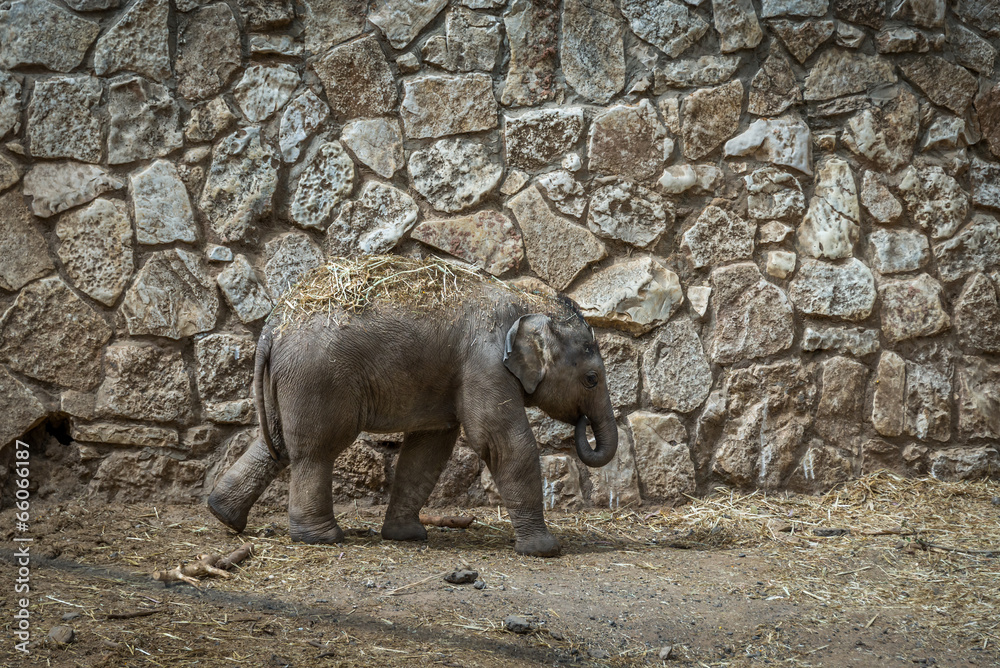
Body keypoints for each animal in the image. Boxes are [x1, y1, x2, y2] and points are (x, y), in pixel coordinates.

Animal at [207, 258, 619, 557]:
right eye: (591, 379)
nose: (581, 423)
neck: (528, 299)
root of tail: (274, 324)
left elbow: (428, 448)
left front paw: (406, 536)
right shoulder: (484, 362)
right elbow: (500, 442)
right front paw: (545, 550)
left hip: (290, 381)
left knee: (276, 443)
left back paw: (223, 515)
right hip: (316, 378)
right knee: (315, 449)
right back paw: (322, 539)